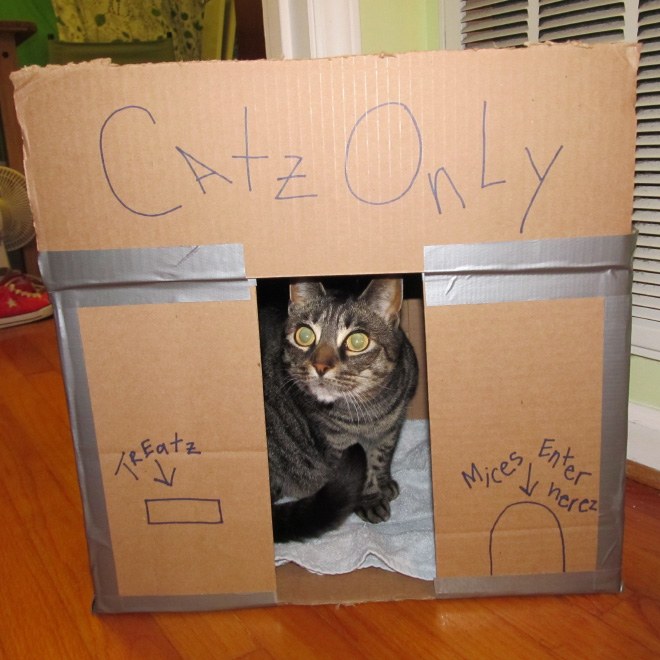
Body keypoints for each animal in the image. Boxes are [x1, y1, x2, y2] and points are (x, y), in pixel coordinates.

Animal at [258, 278, 418, 540]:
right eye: (304, 335)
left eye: (357, 341)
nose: (320, 366)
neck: (370, 410)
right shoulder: (338, 441)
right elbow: (364, 471)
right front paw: (370, 499)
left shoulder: (392, 428)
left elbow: (380, 458)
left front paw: (384, 483)